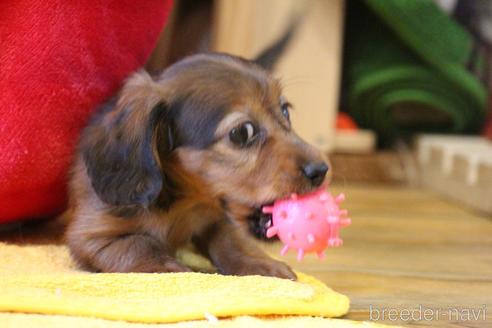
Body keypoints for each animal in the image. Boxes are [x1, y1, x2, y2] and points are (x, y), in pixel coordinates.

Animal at [63, 53, 328, 280]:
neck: (183, 201)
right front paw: (171, 269)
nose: (320, 170)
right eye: (242, 132)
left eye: (285, 110)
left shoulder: (219, 220)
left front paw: (257, 263)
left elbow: (230, 240)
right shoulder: (92, 236)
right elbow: (139, 244)